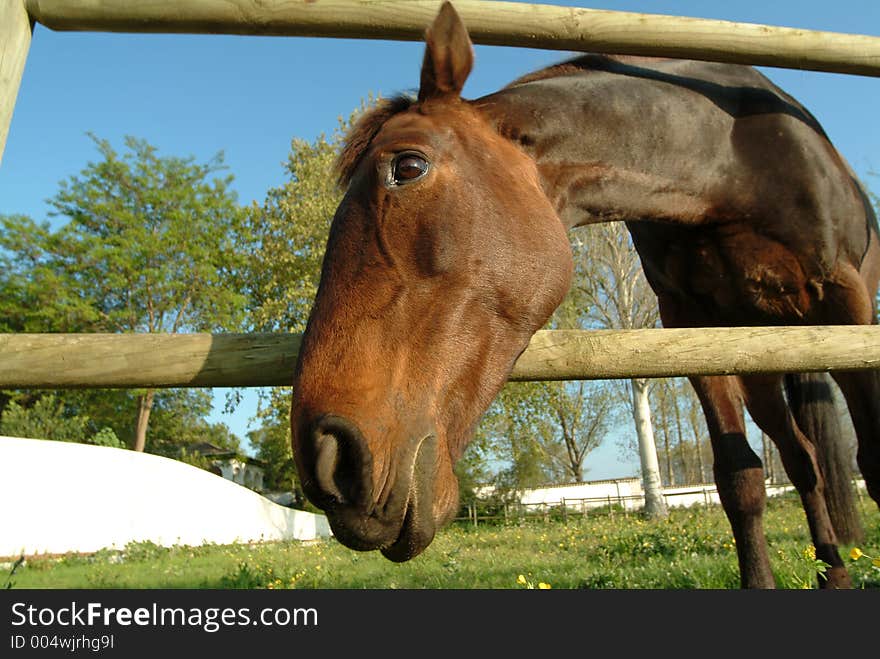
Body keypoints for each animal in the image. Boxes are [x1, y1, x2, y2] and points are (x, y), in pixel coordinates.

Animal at [288, 2, 872, 592]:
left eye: (407, 166)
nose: (327, 462)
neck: (728, 158)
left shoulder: (848, 302)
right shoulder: (693, 324)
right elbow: (741, 480)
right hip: (757, 360)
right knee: (803, 461)